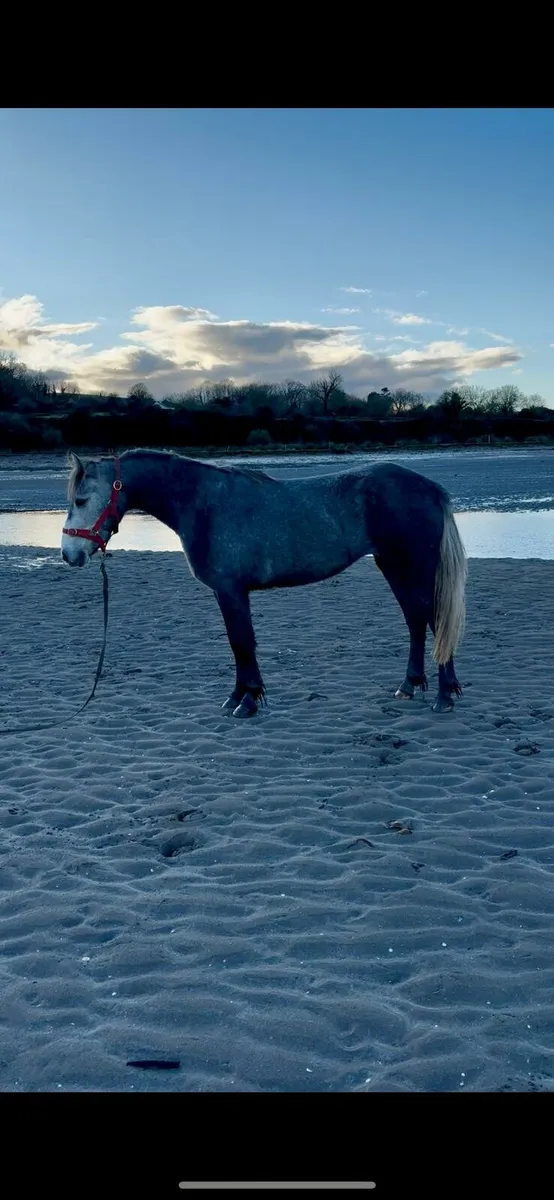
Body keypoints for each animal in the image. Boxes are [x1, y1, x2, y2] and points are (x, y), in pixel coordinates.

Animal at [61, 448, 467, 717]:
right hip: (393, 566)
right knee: (416, 620)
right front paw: (240, 696)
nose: (69, 554)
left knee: (432, 620)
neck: (203, 503)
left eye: (81, 500)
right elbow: (240, 644)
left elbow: (241, 643)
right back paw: (410, 685)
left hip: (415, 566)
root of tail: (430, 488)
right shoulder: (230, 593)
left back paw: (445, 695)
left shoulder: (230, 591)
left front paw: (247, 700)